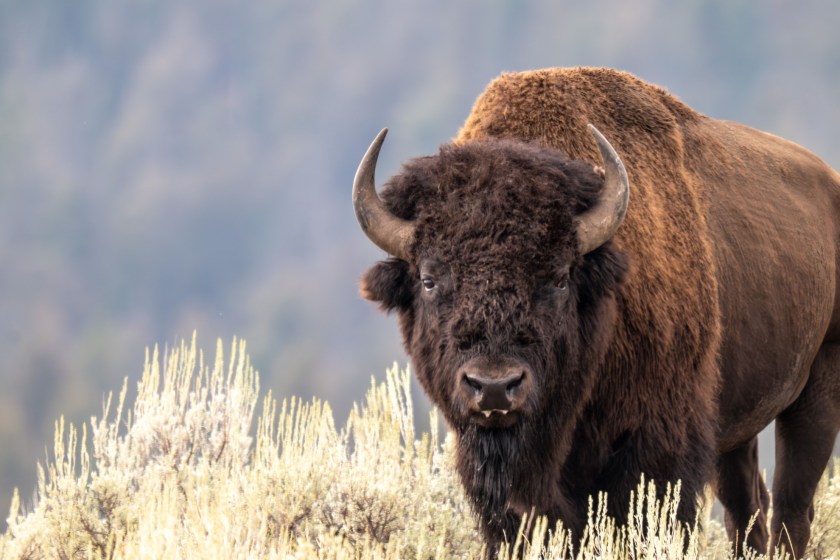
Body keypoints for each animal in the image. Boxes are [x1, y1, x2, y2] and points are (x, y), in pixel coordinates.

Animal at [353, 67, 840, 557]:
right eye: (429, 279)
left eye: (559, 277)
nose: (493, 387)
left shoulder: (659, 449)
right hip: (737, 428)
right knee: (747, 508)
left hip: (816, 391)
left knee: (792, 508)